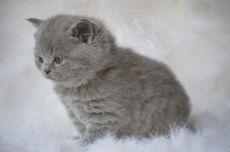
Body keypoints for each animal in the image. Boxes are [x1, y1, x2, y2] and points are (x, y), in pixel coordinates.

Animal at [27, 14, 190, 145]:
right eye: (40, 59)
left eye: (58, 59)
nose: (46, 70)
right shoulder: (73, 113)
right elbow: (81, 128)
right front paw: (78, 139)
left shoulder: (105, 114)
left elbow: (96, 134)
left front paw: (82, 144)